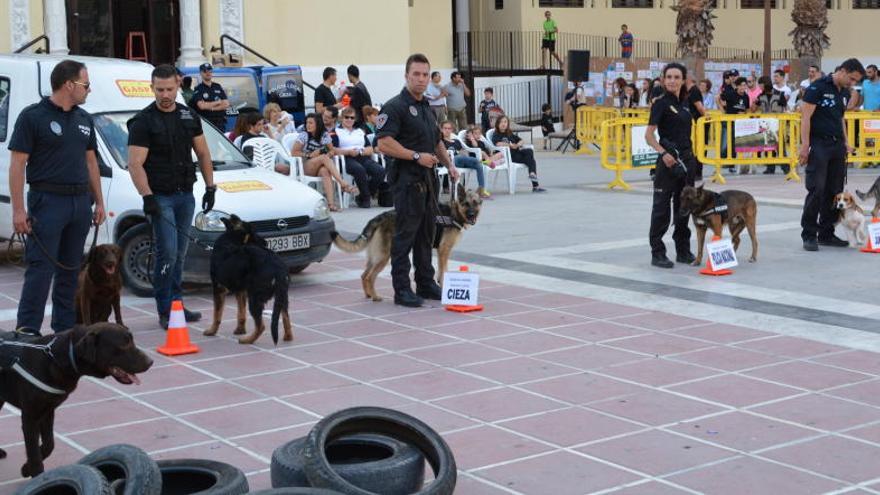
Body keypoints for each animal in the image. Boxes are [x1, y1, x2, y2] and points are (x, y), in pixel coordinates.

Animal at [0, 324, 153, 478]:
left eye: (132, 341)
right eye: (124, 344)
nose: (151, 362)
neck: (54, 359)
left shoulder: (48, 411)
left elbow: (49, 444)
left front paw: (26, 468)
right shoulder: (30, 418)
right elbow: (34, 454)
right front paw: (35, 474)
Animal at [203, 215, 292, 346]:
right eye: (254, 231)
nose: (265, 242)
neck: (229, 241)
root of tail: (278, 268)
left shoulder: (218, 289)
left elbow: (217, 314)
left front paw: (212, 331)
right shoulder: (241, 291)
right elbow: (241, 312)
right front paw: (240, 329)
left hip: (255, 297)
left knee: (261, 326)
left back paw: (247, 340)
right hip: (282, 296)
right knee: (286, 317)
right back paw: (287, 336)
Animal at [330, 183, 482, 302]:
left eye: (475, 203)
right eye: (466, 204)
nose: (471, 215)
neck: (454, 212)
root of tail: (378, 218)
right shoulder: (443, 251)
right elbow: (443, 271)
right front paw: (444, 286)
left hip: (375, 256)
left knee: (363, 275)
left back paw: (368, 294)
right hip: (384, 257)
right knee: (370, 277)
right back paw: (375, 297)